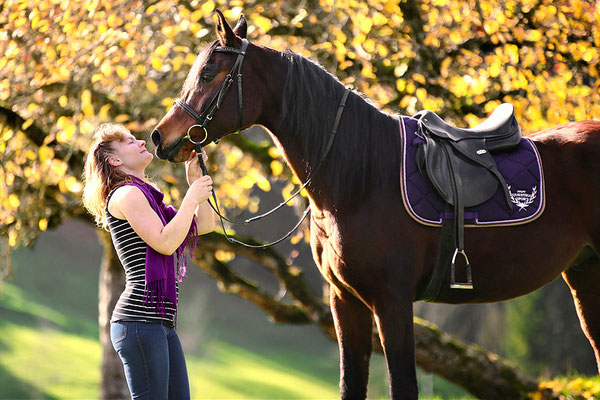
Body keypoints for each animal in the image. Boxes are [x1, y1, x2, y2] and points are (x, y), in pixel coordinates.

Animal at [150, 10, 600, 398]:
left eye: (209, 74)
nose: (159, 137)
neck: (360, 180)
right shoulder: (344, 301)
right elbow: (351, 383)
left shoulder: (392, 301)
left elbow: (402, 385)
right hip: (585, 278)